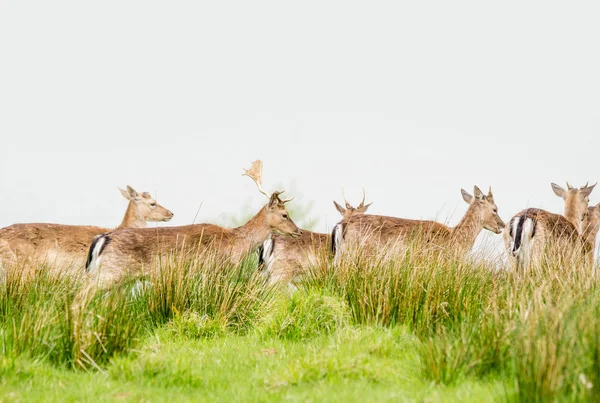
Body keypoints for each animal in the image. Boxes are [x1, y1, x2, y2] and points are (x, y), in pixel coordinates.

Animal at [82, 159, 302, 296]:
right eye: (285, 214)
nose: (298, 231)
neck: (235, 243)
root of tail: (102, 239)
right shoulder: (214, 268)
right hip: (110, 273)